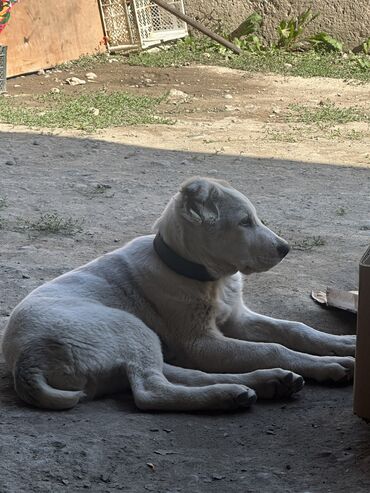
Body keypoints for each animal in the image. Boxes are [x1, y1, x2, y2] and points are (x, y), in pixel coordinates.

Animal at [2, 177, 356, 412]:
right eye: (244, 222)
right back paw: (230, 395)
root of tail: (27, 361)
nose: (285, 249)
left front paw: (345, 344)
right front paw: (325, 361)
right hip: (129, 327)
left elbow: (296, 328)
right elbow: (273, 347)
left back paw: (269, 382)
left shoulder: (236, 320)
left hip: (136, 347)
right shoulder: (201, 343)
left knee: (178, 374)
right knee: (151, 392)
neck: (207, 279)